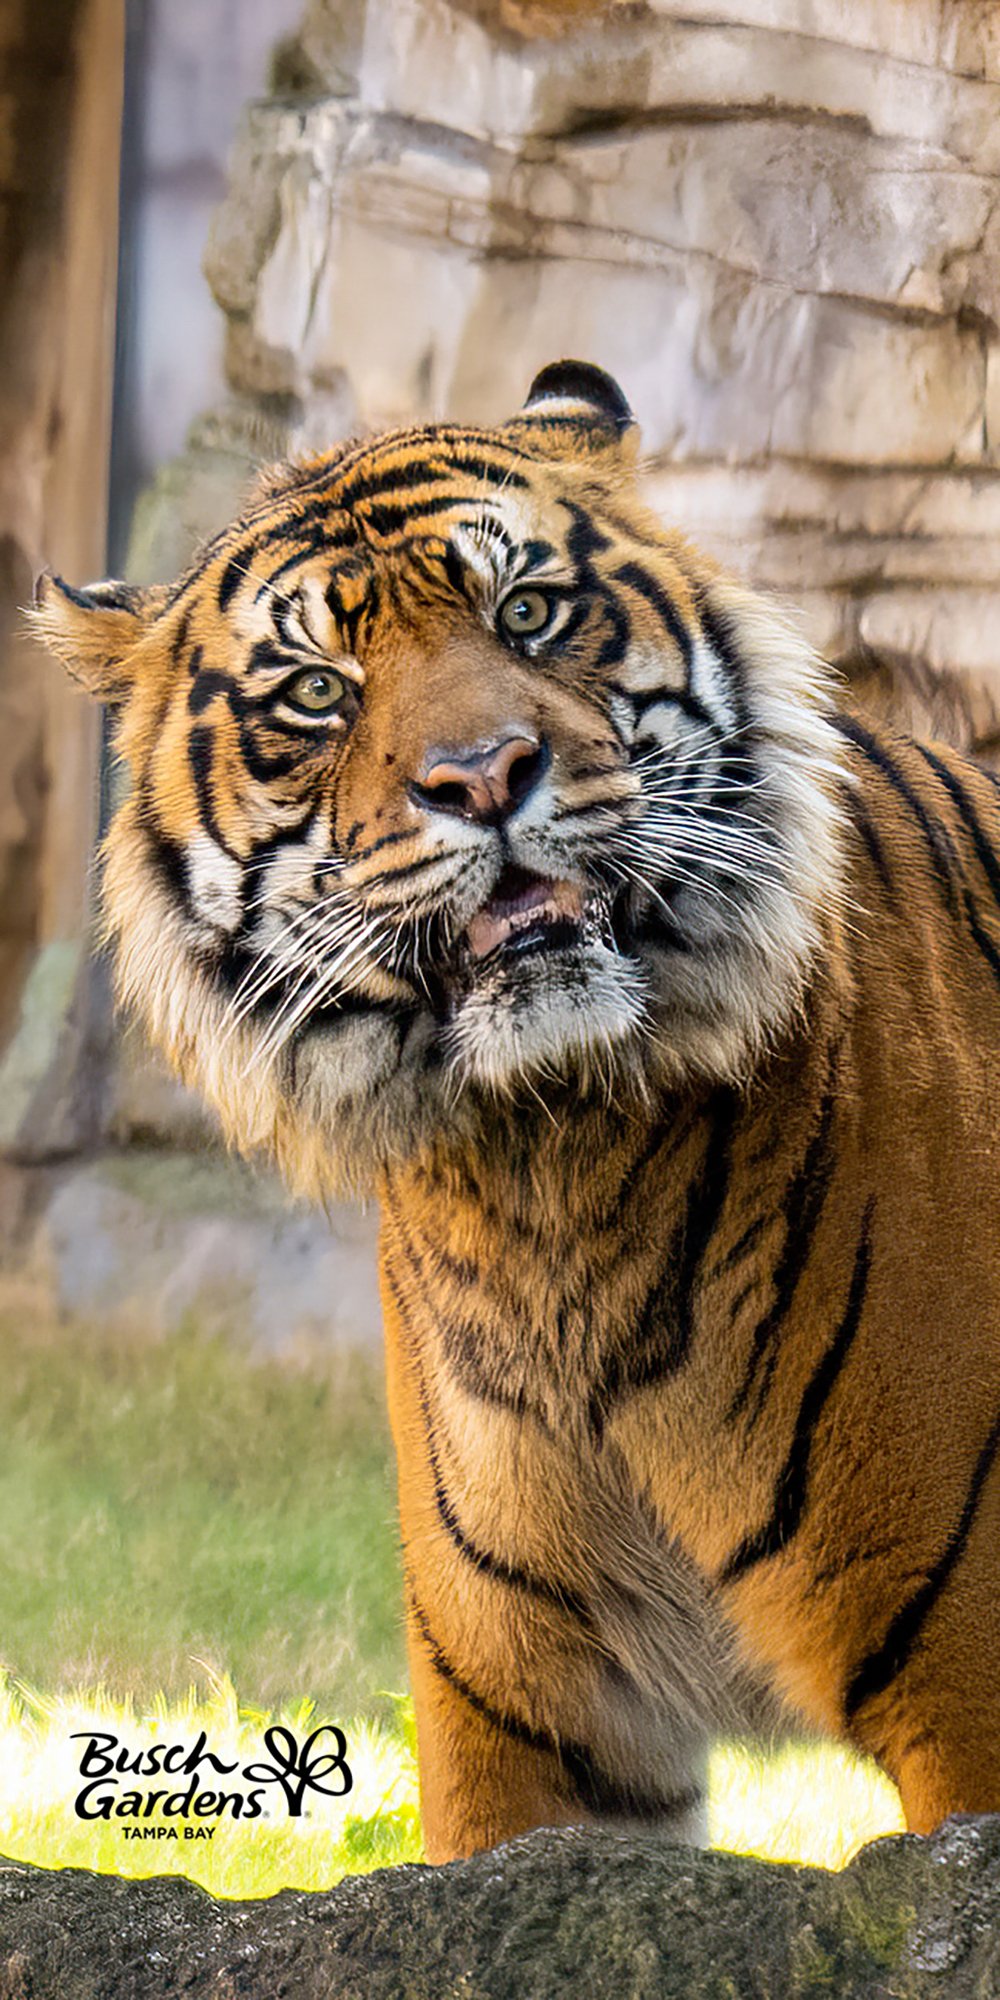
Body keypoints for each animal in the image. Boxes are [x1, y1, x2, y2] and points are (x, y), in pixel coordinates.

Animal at [33, 360, 1000, 1860]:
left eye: (527, 612)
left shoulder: (968, 1679)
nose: (484, 776)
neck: (546, 1169)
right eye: (318, 692)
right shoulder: (525, 1718)